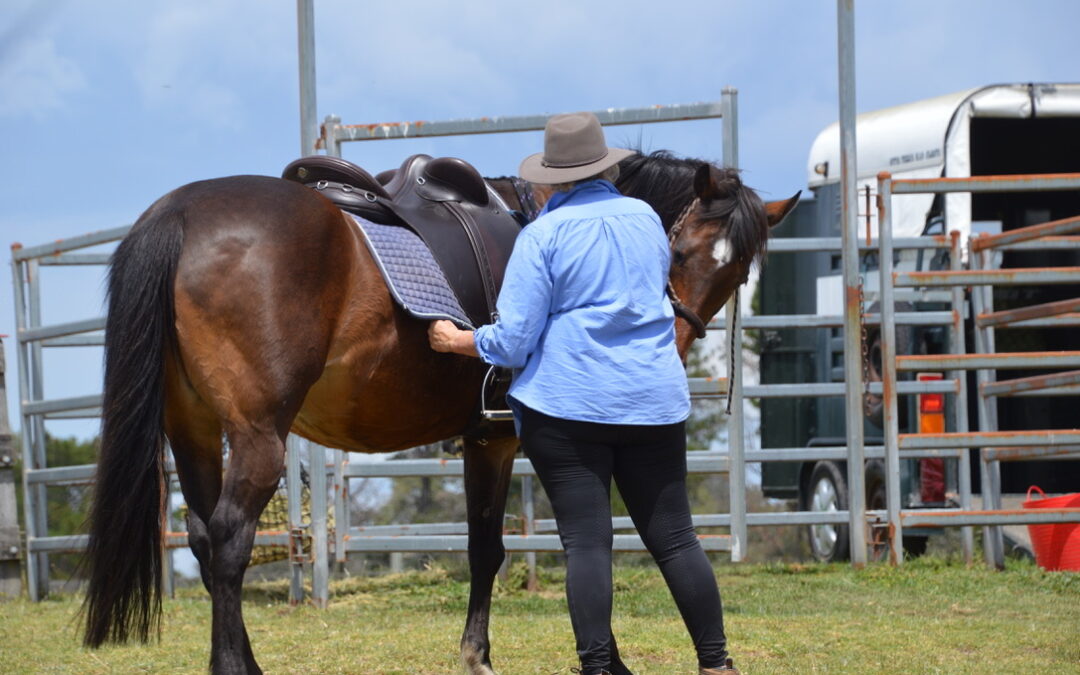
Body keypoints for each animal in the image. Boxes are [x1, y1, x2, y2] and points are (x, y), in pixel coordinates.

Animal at [79, 149, 799, 673]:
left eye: (736, 275)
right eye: (676, 252)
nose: (665, 343)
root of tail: (179, 213)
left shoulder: (482, 437)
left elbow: (485, 547)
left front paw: (475, 652)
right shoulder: (502, 439)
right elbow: (503, 548)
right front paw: (484, 654)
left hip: (194, 429)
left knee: (203, 538)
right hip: (257, 435)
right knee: (230, 538)